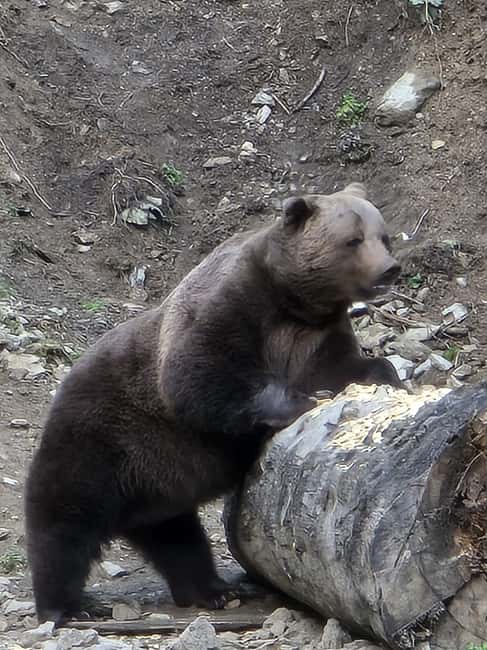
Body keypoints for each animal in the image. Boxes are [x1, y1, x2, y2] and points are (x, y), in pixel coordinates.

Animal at [25, 182, 402, 626]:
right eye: (353, 240)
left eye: (384, 236)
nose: (389, 269)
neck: (295, 303)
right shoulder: (231, 306)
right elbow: (198, 374)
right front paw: (300, 401)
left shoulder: (316, 337)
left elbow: (345, 368)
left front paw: (385, 374)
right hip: (97, 439)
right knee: (64, 522)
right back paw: (64, 605)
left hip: (157, 484)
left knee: (178, 539)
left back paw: (212, 590)